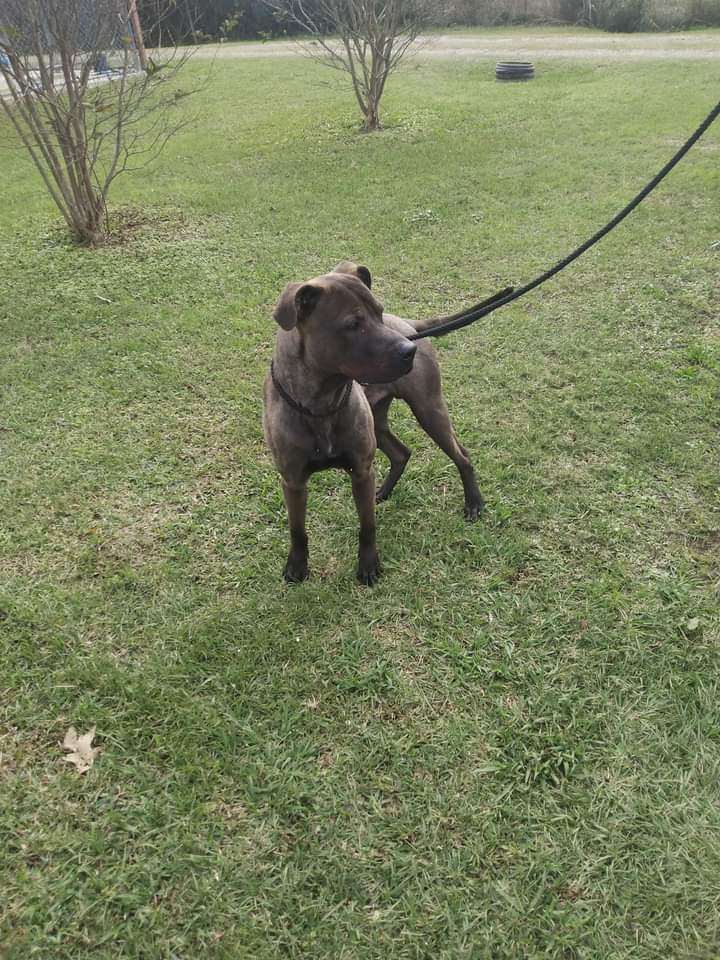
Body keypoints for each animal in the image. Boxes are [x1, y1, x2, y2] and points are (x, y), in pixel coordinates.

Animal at [264, 262, 484, 584]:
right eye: (353, 324)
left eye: (379, 312)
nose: (408, 352)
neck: (320, 405)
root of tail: (409, 325)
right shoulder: (293, 480)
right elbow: (297, 530)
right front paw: (297, 567)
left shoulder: (361, 471)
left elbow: (367, 525)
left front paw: (368, 566)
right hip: (379, 422)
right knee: (401, 453)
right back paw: (384, 492)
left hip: (429, 409)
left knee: (462, 456)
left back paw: (474, 503)